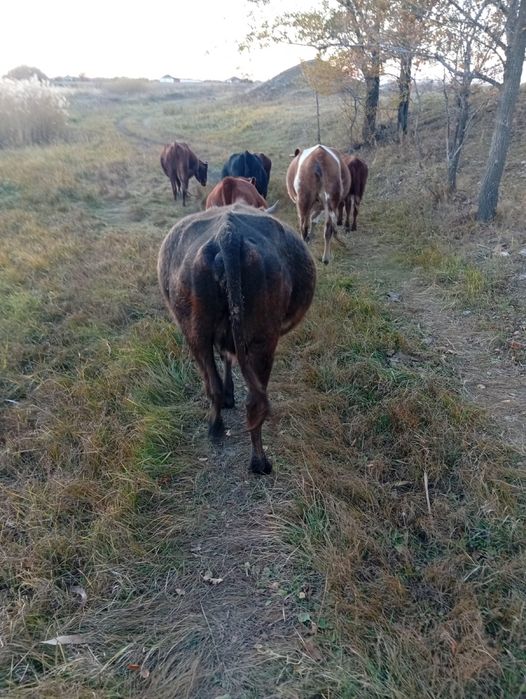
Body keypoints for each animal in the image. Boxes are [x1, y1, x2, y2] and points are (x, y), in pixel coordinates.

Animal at [157, 204, 316, 475]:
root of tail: (228, 233)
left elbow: (225, 360)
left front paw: (229, 394)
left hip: (195, 334)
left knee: (213, 386)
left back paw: (216, 429)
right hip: (263, 341)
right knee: (253, 403)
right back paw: (260, 462)